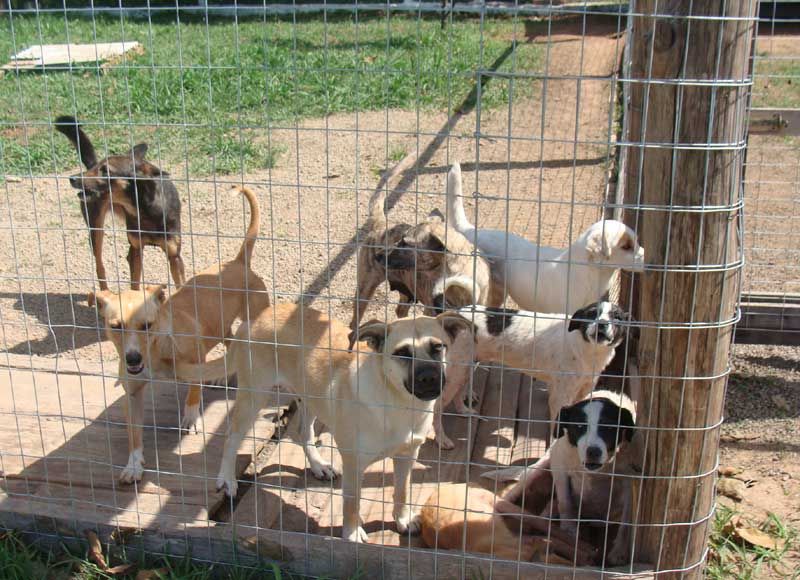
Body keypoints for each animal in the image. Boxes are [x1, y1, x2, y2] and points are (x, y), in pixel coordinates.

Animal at [92, 187, 270, 484]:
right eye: (115, 326)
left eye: (147, 325)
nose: (132, 359)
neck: (157, 350)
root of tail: (237, 262)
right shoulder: (133, 394)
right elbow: (133, 434)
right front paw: (133, 465)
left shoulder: (195, 359)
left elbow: (193, 393)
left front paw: (190, 418)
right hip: (222, 328)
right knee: (229, 342)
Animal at [350, 187, 500, 348]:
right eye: (400, 239)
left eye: (405, 243)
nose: (377, 255)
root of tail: (382, 223)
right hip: (364, 291)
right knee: (354, 323)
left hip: (407, 292)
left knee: (400, 311)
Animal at [434, 302, 628, 450]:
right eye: (592, 314)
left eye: (617, 317)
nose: (602, 324)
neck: (586, 350)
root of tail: (455, 312)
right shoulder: (559, 398)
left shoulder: (583, 392)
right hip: (456, 372)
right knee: (437, 406)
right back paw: (442, 439)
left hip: (465, 368)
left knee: (458, 394)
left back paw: (464, 411)